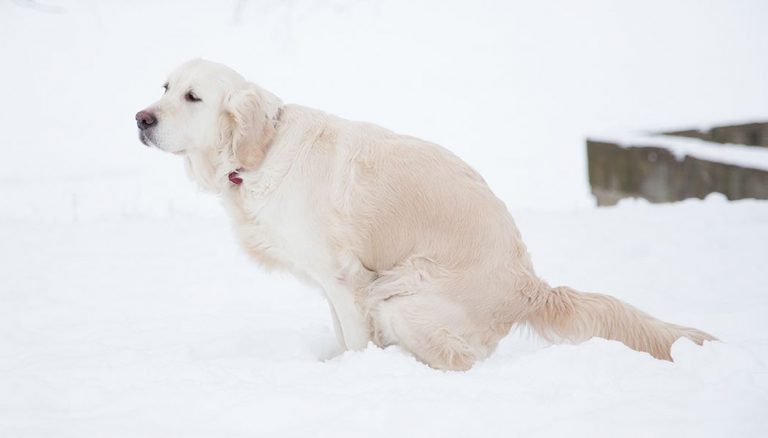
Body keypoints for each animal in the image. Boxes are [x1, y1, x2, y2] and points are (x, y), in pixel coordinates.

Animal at [135, 60, 716, 372]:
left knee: (461, 361)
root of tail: (528, 284)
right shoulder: (331, 283)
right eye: (164, 87)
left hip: (403, 295)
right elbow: (342, 334)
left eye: (193, 97)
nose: (140, 118)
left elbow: (354, 337)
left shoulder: (347, 279)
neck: (261, 153)